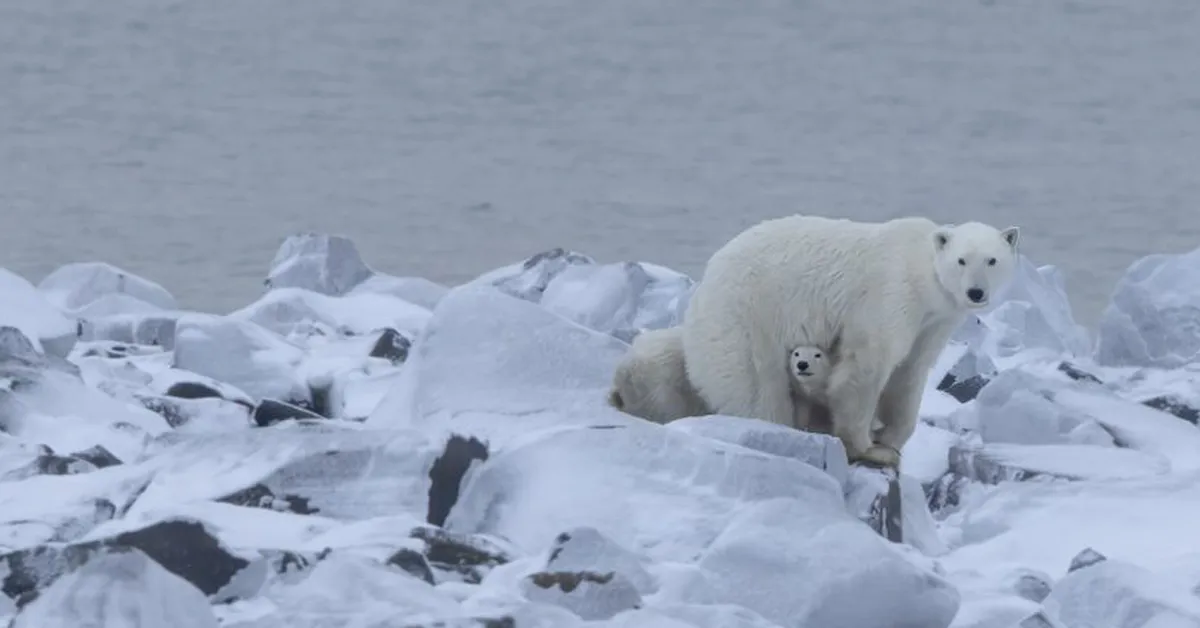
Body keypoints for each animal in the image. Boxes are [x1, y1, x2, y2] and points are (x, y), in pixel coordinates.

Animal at [680, 215, 1019, 467]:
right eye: (962, 260)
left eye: (992, 260)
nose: (976, 292)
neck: (921, 272)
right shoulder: (891, 294)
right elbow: (866, 365)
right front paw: (868, 447)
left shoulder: (934, 320)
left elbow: (911, 371)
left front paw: (891, 438)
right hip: (747, 320)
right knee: (757, 390)